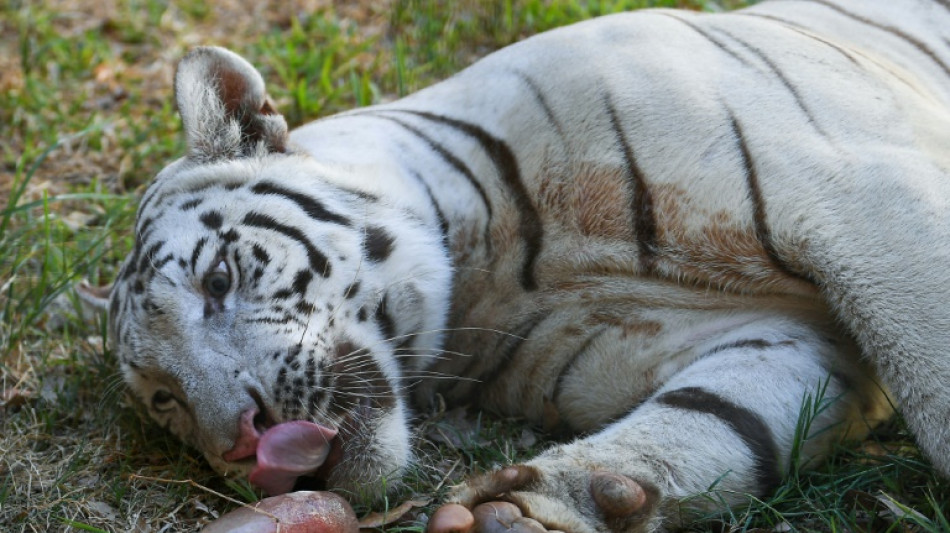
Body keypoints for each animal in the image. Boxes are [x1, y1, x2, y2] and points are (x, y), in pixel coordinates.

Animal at [106, 2, 950, 528]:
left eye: (218, 281)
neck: (494, 263)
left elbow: (933, 373)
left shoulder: (858, 192)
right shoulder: (786, 338)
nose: (243, 445)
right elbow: (717, 419)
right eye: (166, 401)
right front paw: (534, 511)